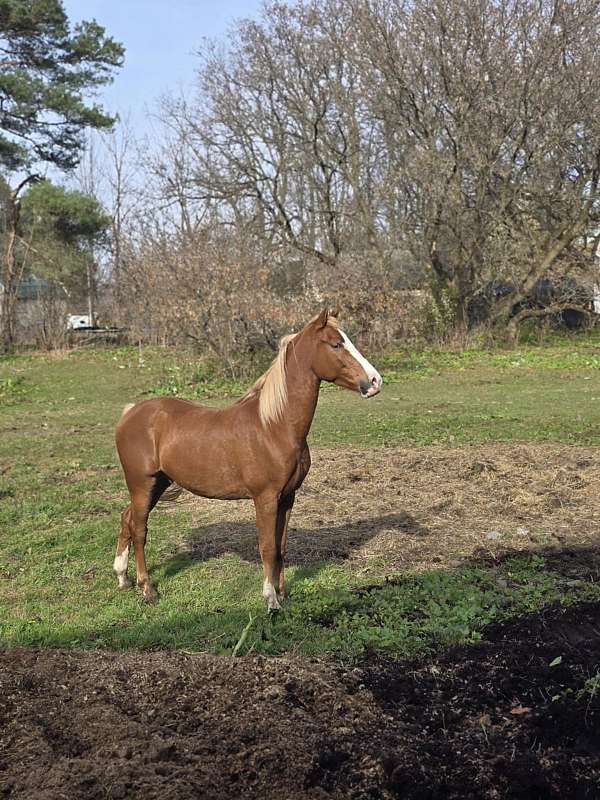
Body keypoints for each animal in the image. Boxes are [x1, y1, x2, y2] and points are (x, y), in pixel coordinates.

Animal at [115, 310, 382, 608]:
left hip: (157, 484)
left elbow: (281, 547)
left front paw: (282, 592)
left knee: (127, 519)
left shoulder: (287, 497)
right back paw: (147, 588)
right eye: (336, 344)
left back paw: (122, 578)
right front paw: (271, 600)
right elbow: (267, 547)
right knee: (139, 530)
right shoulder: (265, 498)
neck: (274, 426)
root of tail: (131, 412)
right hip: (142, 484)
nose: (374, 381)